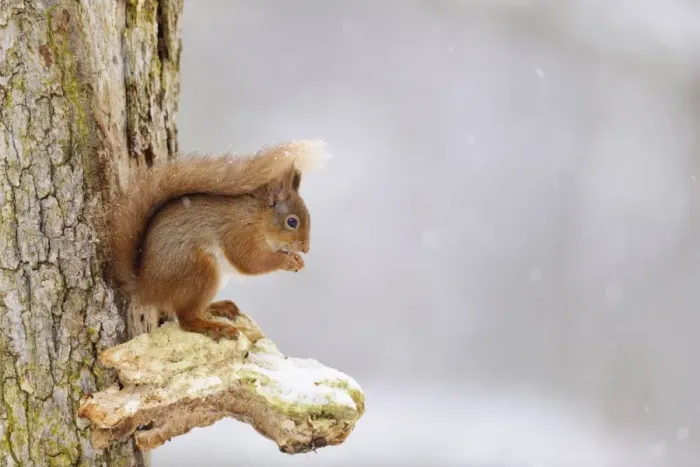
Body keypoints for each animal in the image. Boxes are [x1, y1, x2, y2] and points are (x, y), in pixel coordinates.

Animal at [109, 140, 328, 341]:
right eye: (292, 221)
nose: (306, 249)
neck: (258, 217)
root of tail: (147, 287)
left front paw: (297, 260)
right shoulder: (239, 232)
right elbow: (250, 262)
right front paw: (286, 261)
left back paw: (218, 307)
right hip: (199, 271)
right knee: (187, 318)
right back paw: (214, 327)